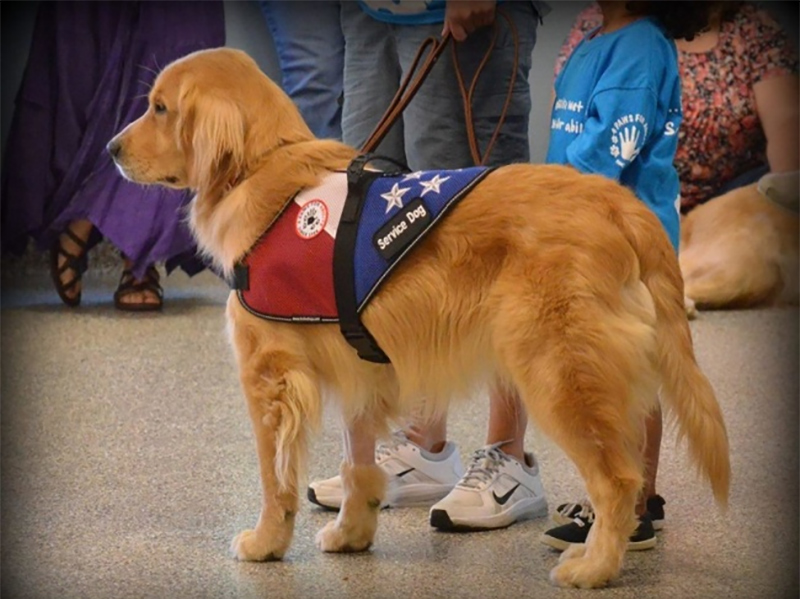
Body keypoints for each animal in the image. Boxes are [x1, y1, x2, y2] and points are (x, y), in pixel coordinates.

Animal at [108, 48, 732, 592]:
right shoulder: (361, 369)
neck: (262, 165)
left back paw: (595, 566)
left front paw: (266, 543)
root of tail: (621, 204)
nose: (110, 148)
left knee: (618, 480)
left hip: (560, 372)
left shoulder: (270, 379)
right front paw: (353, 532)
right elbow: (358, 463)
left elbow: (274, 477)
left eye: (159, 108)